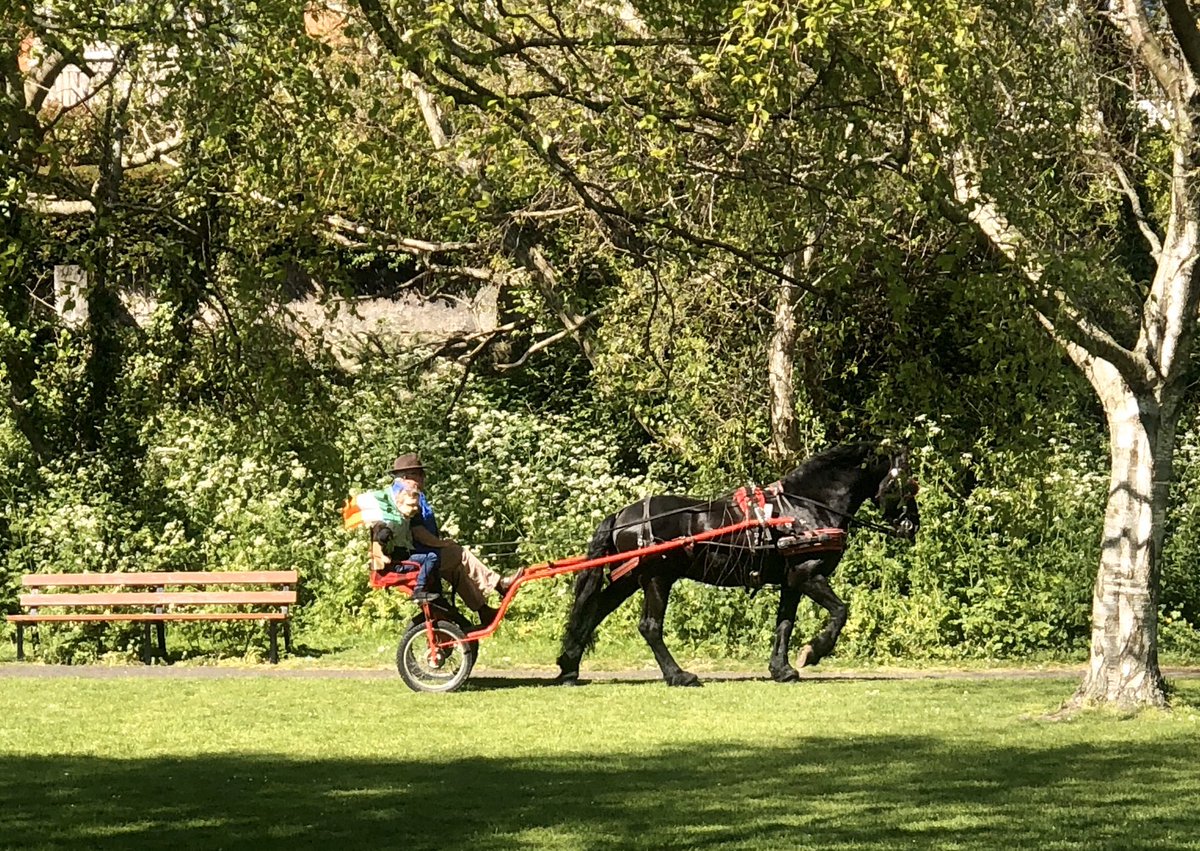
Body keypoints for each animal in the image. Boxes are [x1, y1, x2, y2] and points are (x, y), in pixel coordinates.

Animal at [556, 442, 919, 686]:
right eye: (905, 483)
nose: (912, 525)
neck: (805, 508)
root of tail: (622, 515)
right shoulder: (808, 575)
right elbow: (840, 612)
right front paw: (813, 651)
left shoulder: (791, 581)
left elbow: (784, 625)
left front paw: (782, 670)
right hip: (657, 578)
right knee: (649, 626)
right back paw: (679, 675)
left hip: (631, 578)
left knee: (594, 610)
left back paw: (569, 667)